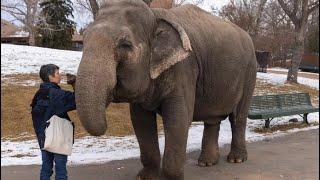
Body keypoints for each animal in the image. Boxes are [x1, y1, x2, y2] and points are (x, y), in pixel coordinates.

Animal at [75, 0, 258, 179]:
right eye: (83, 40)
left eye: (125, 45)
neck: (155, 15)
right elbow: (140, 121)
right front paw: (145, 177)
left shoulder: (184, 68)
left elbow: (178, 118)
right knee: (212, 119)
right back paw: (207, 163)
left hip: (250, 73)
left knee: (238, 117)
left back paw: (236, 159)